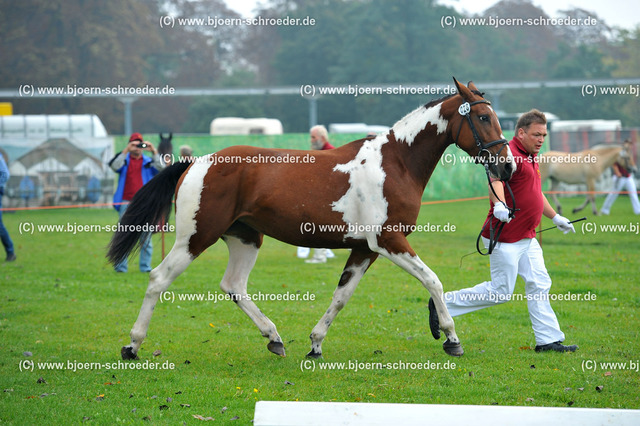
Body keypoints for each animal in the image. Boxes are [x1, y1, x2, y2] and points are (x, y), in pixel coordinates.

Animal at [105, 77, 516, 360]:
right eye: (483, 117)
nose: (507, 166)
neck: (396, 163)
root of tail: (196, 162)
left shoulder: (365, 249)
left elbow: (341, 296)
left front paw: (316, 344)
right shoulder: (390, 241)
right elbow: (433, 280)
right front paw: (452, 339)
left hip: (245, 238)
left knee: (234, 285)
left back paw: (274, 338)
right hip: (195, 237)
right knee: (158, 279)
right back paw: (132, 346)